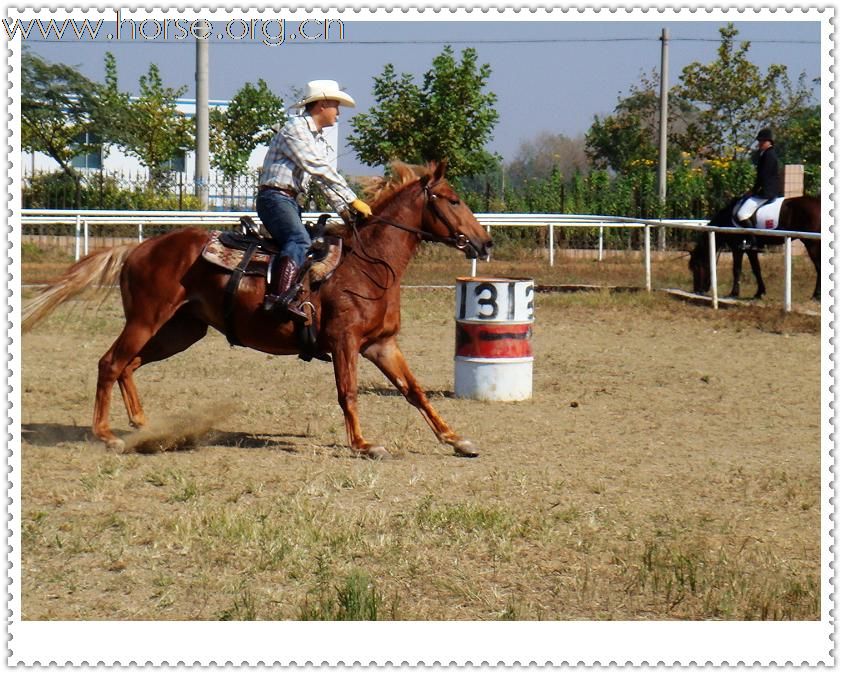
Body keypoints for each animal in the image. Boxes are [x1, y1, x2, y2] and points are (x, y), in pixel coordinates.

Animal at [23, 160, 492, 460]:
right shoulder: (345, 342)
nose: (484, 242)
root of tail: (138, 247)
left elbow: (414, 391)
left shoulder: (382, 345)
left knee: (129, 365)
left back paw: (142, 425)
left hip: (179, 331)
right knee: (110, 362)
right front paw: (363, 445)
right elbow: (349, 392)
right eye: (451, 199)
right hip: (145, 320)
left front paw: (456, 439)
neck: (367, 264)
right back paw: (107, 436)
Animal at [684, 194, 816, 300]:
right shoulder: (750, 250)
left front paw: (734, 293)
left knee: (818, 266)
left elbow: (736, 269)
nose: (697, 291)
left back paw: (816, 296)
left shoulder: (737, 248)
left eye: (696, 266)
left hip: (811, 243)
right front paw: (759, 293)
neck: (727, 220)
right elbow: (756, 269)